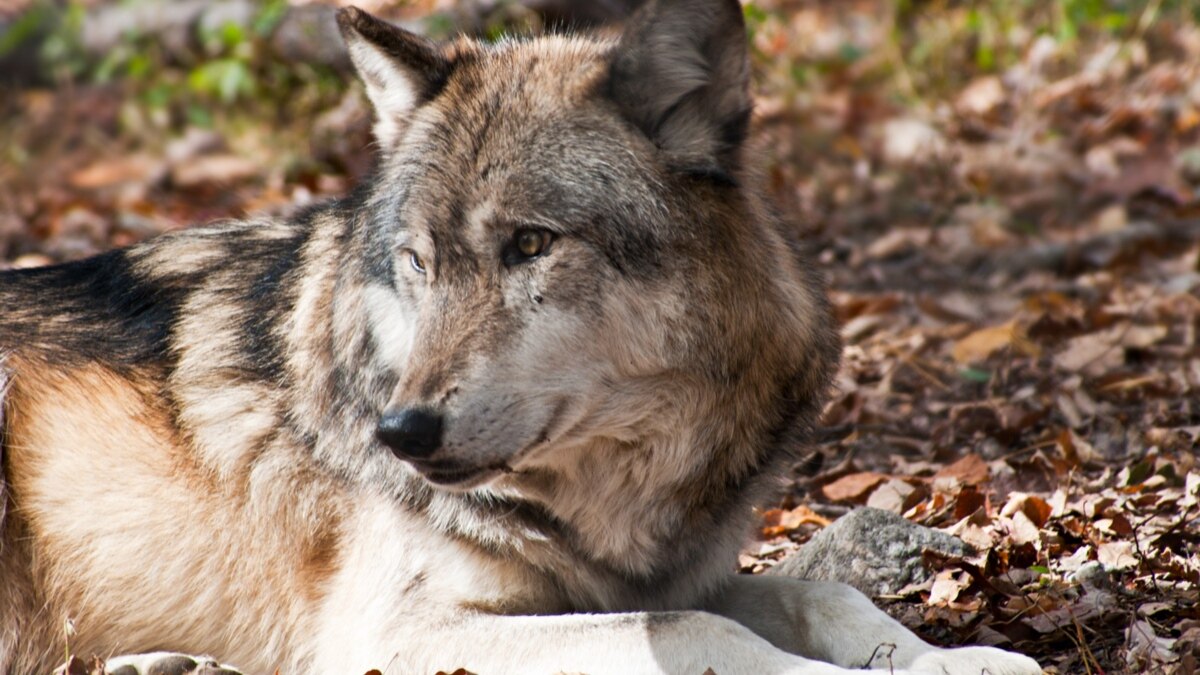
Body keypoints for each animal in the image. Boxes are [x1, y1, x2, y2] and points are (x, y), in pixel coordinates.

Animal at [0, 2, 1041, 667]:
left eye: (531, 244)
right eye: (417, 262)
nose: (400, 432)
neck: (609, 499)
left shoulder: (666, 577)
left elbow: (820, 591)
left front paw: (954, 660)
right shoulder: (400, 630)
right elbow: (705, 633)